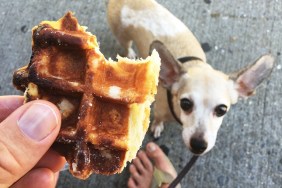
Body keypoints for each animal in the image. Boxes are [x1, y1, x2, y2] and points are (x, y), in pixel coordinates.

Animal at [107, 0, 274, 155]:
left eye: (222, 110)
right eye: (185, 104)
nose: (199, 145)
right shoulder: (160, 111)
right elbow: (159, 119)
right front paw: (157, 126)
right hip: (122, 36)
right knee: (126, 45)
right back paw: (130, 54)